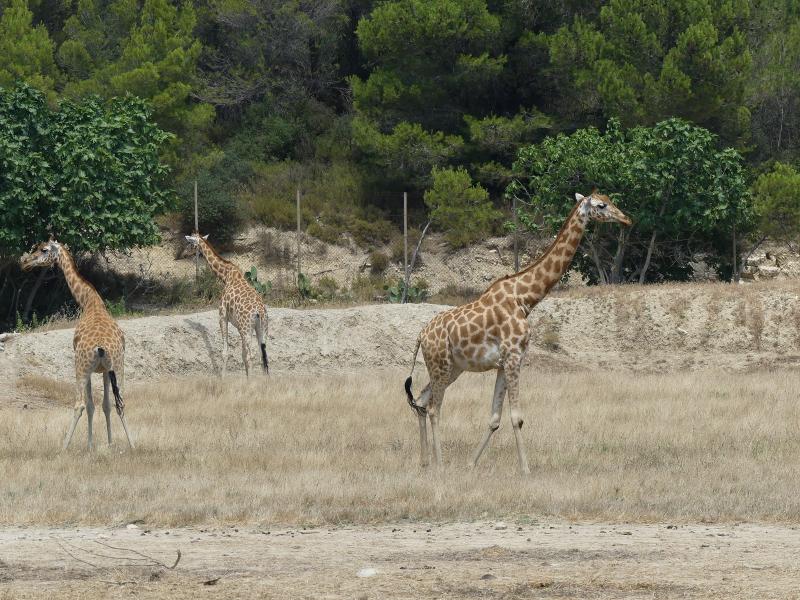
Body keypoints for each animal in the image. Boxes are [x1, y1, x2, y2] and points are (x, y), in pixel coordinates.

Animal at [20, 239, 134, 450]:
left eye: (43, 250)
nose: (25, 262)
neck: (90, 302)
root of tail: (101, 347)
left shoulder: (89, 370)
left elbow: (90, 405)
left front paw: (90, 446)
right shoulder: (106, 370)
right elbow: (106, 405)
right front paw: (109, 444)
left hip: (80, 366)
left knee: (79, 404)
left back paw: (63, 448)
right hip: (119, 366)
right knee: (121, 402)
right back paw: (132, 445)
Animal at [185, 233, 269, 377]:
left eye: (190, 243)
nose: (183, 253)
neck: (226, 275)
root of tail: (259, 312)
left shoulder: (222, 316)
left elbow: (225, 352)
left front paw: (223, 378)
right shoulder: (237, 326)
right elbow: (242, 355)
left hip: (247, 329)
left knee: (251, 355)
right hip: (262, 329)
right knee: (261, 355)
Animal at [404, 191, 631, 473]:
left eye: (610, 201)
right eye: (601, 205)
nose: (626, 219)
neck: (525, 297)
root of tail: (420, 336)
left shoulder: (505, 361)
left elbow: (494, 418)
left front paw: (470, 463)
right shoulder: (513, 356)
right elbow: (516, 417)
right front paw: (526, 469)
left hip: (453, 367)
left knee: (421, 401)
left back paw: (425, 462)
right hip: (441, 364)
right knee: (434, 408)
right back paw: (441, 465)